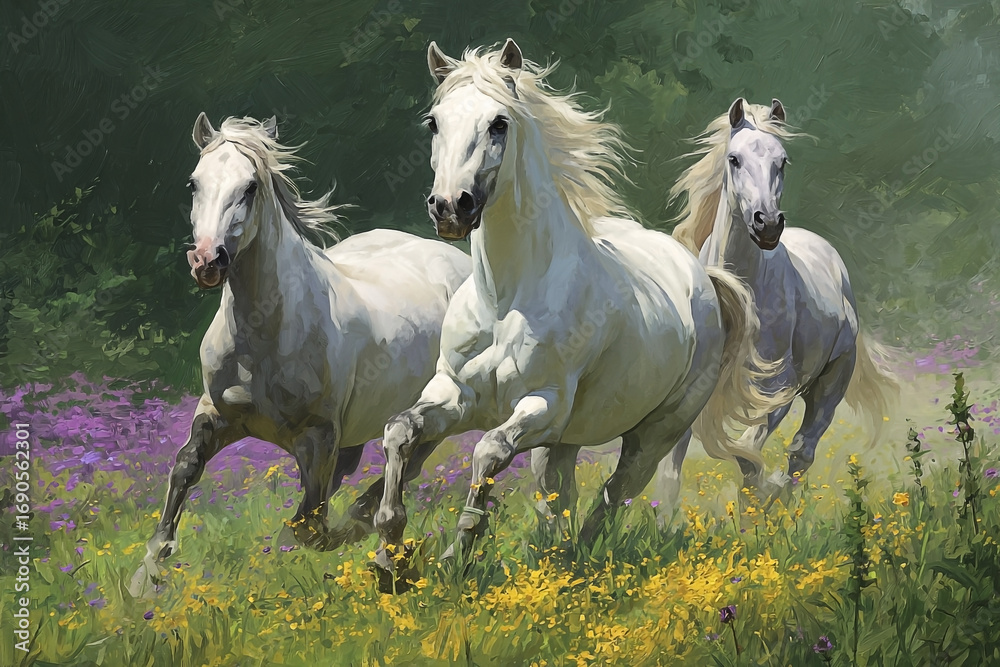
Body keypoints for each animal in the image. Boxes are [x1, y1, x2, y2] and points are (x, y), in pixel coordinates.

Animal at [129, 114, 471, 597]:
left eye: (250, 186)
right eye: (194, 183)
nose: (207, 261)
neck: (263, 334)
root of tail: (453, 259)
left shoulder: (318, 436)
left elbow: (309, 526)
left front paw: (373, 547)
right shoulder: (216, 413)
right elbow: (185, 468)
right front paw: (148, 571)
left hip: (437, 409)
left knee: (410, 462)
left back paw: (367, 520)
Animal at [370, 40, 789, 584]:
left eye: (499, 123)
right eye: (433, 122)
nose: (449, 208)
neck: (505, 298)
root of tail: (703, 278)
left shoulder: (542, 406)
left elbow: (488, 451)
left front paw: (455, 556)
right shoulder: (453, 393)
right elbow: (399, 431)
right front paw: (389, 556)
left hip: (656, 431)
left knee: (614, 493)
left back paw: (575, 559)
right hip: (565, 440)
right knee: (558, 493)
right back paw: (553, 558)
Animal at [661, 98, 899, 506]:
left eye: (782, 161)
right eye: (734, 159)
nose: (768, 224)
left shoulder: (776, 393)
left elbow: (747, 456)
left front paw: (760, 498)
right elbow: (672, 474)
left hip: (831, 382)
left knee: (803, 450)